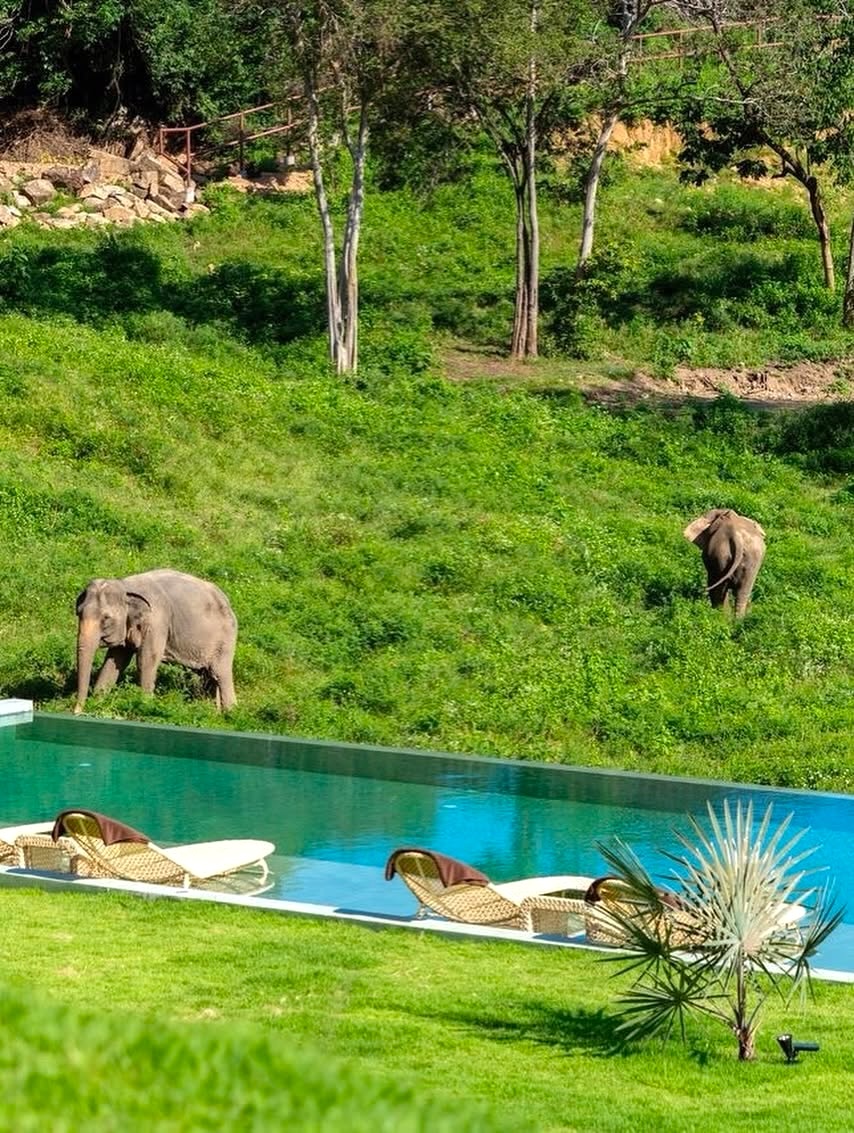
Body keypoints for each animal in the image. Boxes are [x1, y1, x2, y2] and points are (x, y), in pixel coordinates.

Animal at [74, 569, 237, 713]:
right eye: (78, 613)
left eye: (106, 618)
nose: (77, 711)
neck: (126, 586)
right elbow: (115, 660)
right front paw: (98, 701)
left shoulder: (157, 622)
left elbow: (146, 660)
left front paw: (145, 704)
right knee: (207, 674)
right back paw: (212, 711)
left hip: (225, 639)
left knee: (220, 673)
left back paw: (230, 713)